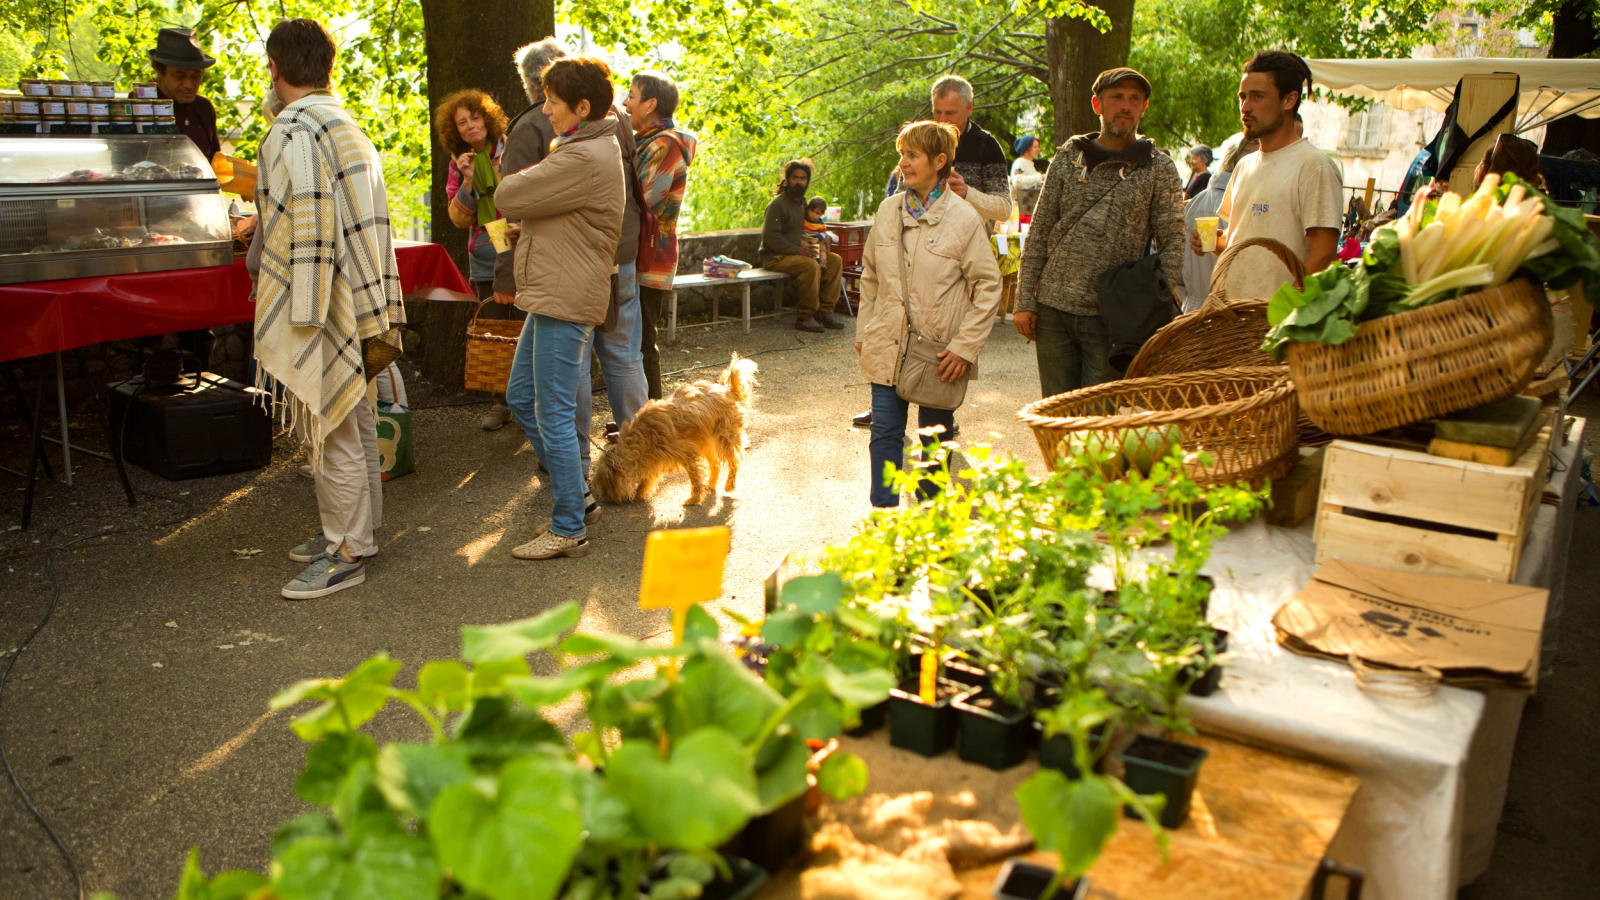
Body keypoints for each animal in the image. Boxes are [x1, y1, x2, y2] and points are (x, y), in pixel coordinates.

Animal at [592, 352, 758, 506]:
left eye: (607, 486)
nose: (607, 500)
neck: (644, 436)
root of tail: (729, 392)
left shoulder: (687, 452)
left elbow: (694, 476)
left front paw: (694, 498)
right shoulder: (654, 459)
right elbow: (648, 478)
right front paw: (640, 492)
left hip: (725, 438)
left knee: (733, 462)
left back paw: (730, 484)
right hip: (706, 442)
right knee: (715, 464)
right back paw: (711, 484)